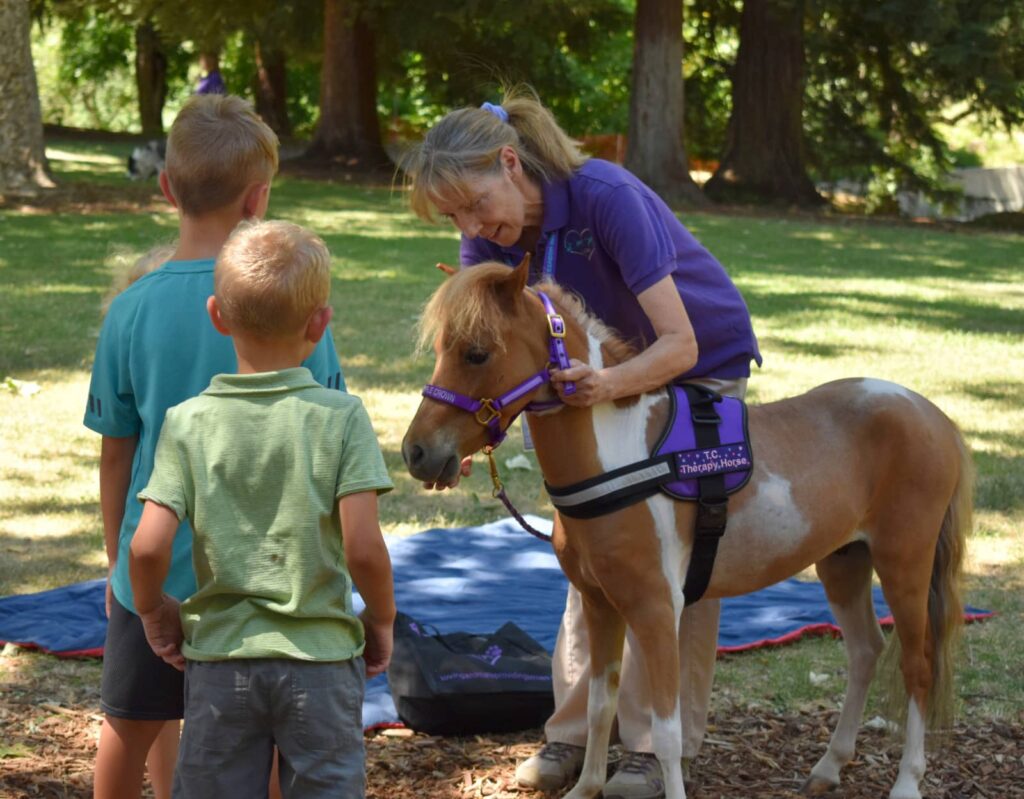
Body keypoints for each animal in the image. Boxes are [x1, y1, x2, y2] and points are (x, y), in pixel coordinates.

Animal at [401, 257, 974, 799]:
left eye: (477, 353)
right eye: (442, 349)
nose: (417, 452)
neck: (620, 455)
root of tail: (934, 416)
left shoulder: (656, 609)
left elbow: (667, 733)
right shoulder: (599, 603)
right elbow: (600, 706)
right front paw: (585, 787)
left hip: (905, 563)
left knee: (918, 665)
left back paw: (907, 781)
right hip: (843, 560)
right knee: (865, 652)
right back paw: (828, 768)